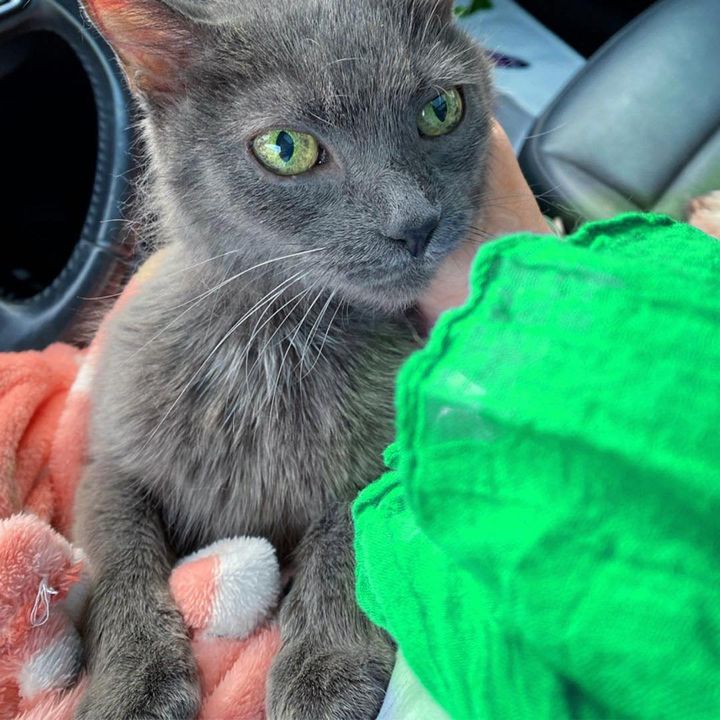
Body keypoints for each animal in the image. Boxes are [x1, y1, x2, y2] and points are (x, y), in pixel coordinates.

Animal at [73, 0, 492, 716]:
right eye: (286, 148)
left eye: (441, 109)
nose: (416, 224)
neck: (277, 339)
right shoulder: (107, 462)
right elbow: (118, 553)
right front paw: (133, 683)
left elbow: (346, 532)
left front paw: (327, 666)